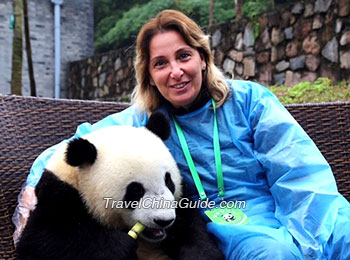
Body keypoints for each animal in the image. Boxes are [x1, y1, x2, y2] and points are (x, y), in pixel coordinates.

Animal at [16, 112, 223, 260]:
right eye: (135, 191)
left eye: (168, 181)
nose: (164, 220)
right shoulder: (60, 194)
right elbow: (43, 240)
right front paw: (121, 245)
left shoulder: (181, 201)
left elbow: (193, 229)